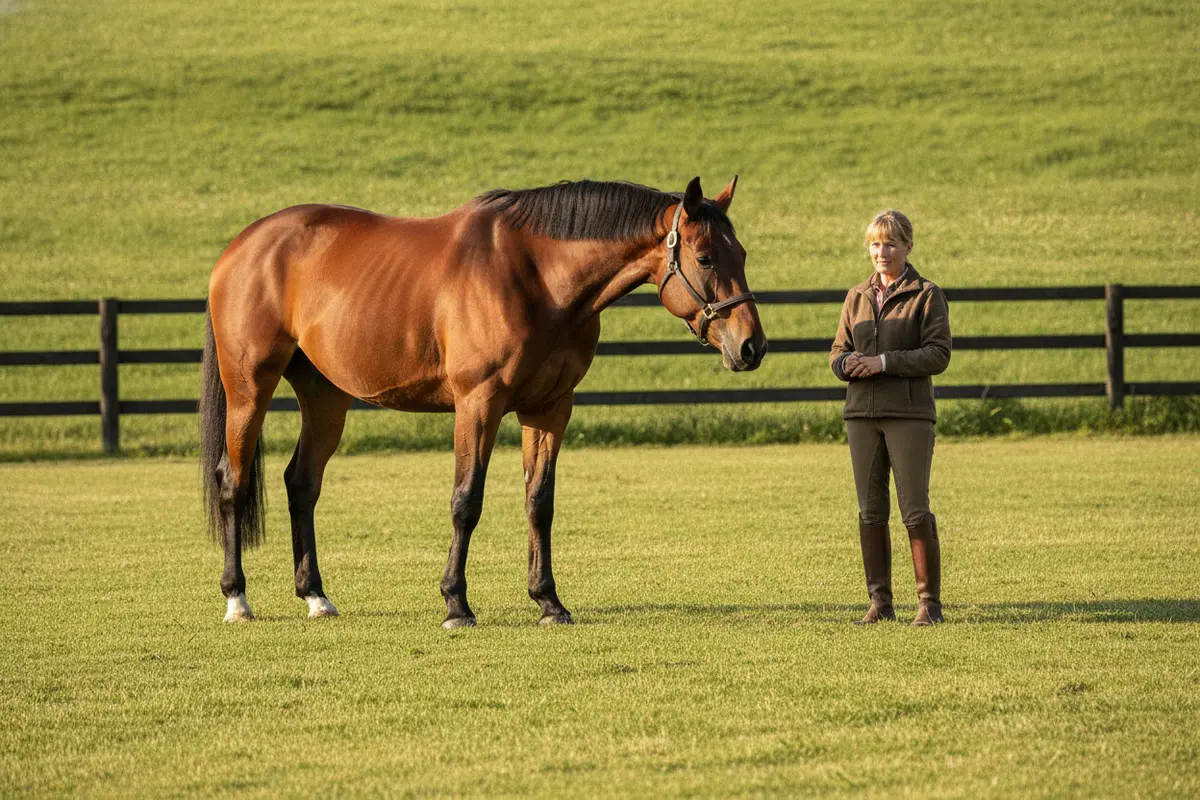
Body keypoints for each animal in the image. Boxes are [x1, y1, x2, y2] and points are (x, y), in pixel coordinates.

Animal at [200, 176, 767, 627]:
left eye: (742, 255)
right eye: (705, 257)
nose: (752, 346)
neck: (536, 274)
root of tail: (243, 246)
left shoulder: (550, 408)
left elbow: (540, 502)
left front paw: (549, 602)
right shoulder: (479, 404)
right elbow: (466, 501)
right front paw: (456, 604)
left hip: (325, 396)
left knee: (302, 484)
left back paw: (315, 596)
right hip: (249, 387)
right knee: (234, 481)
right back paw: (237, 599)